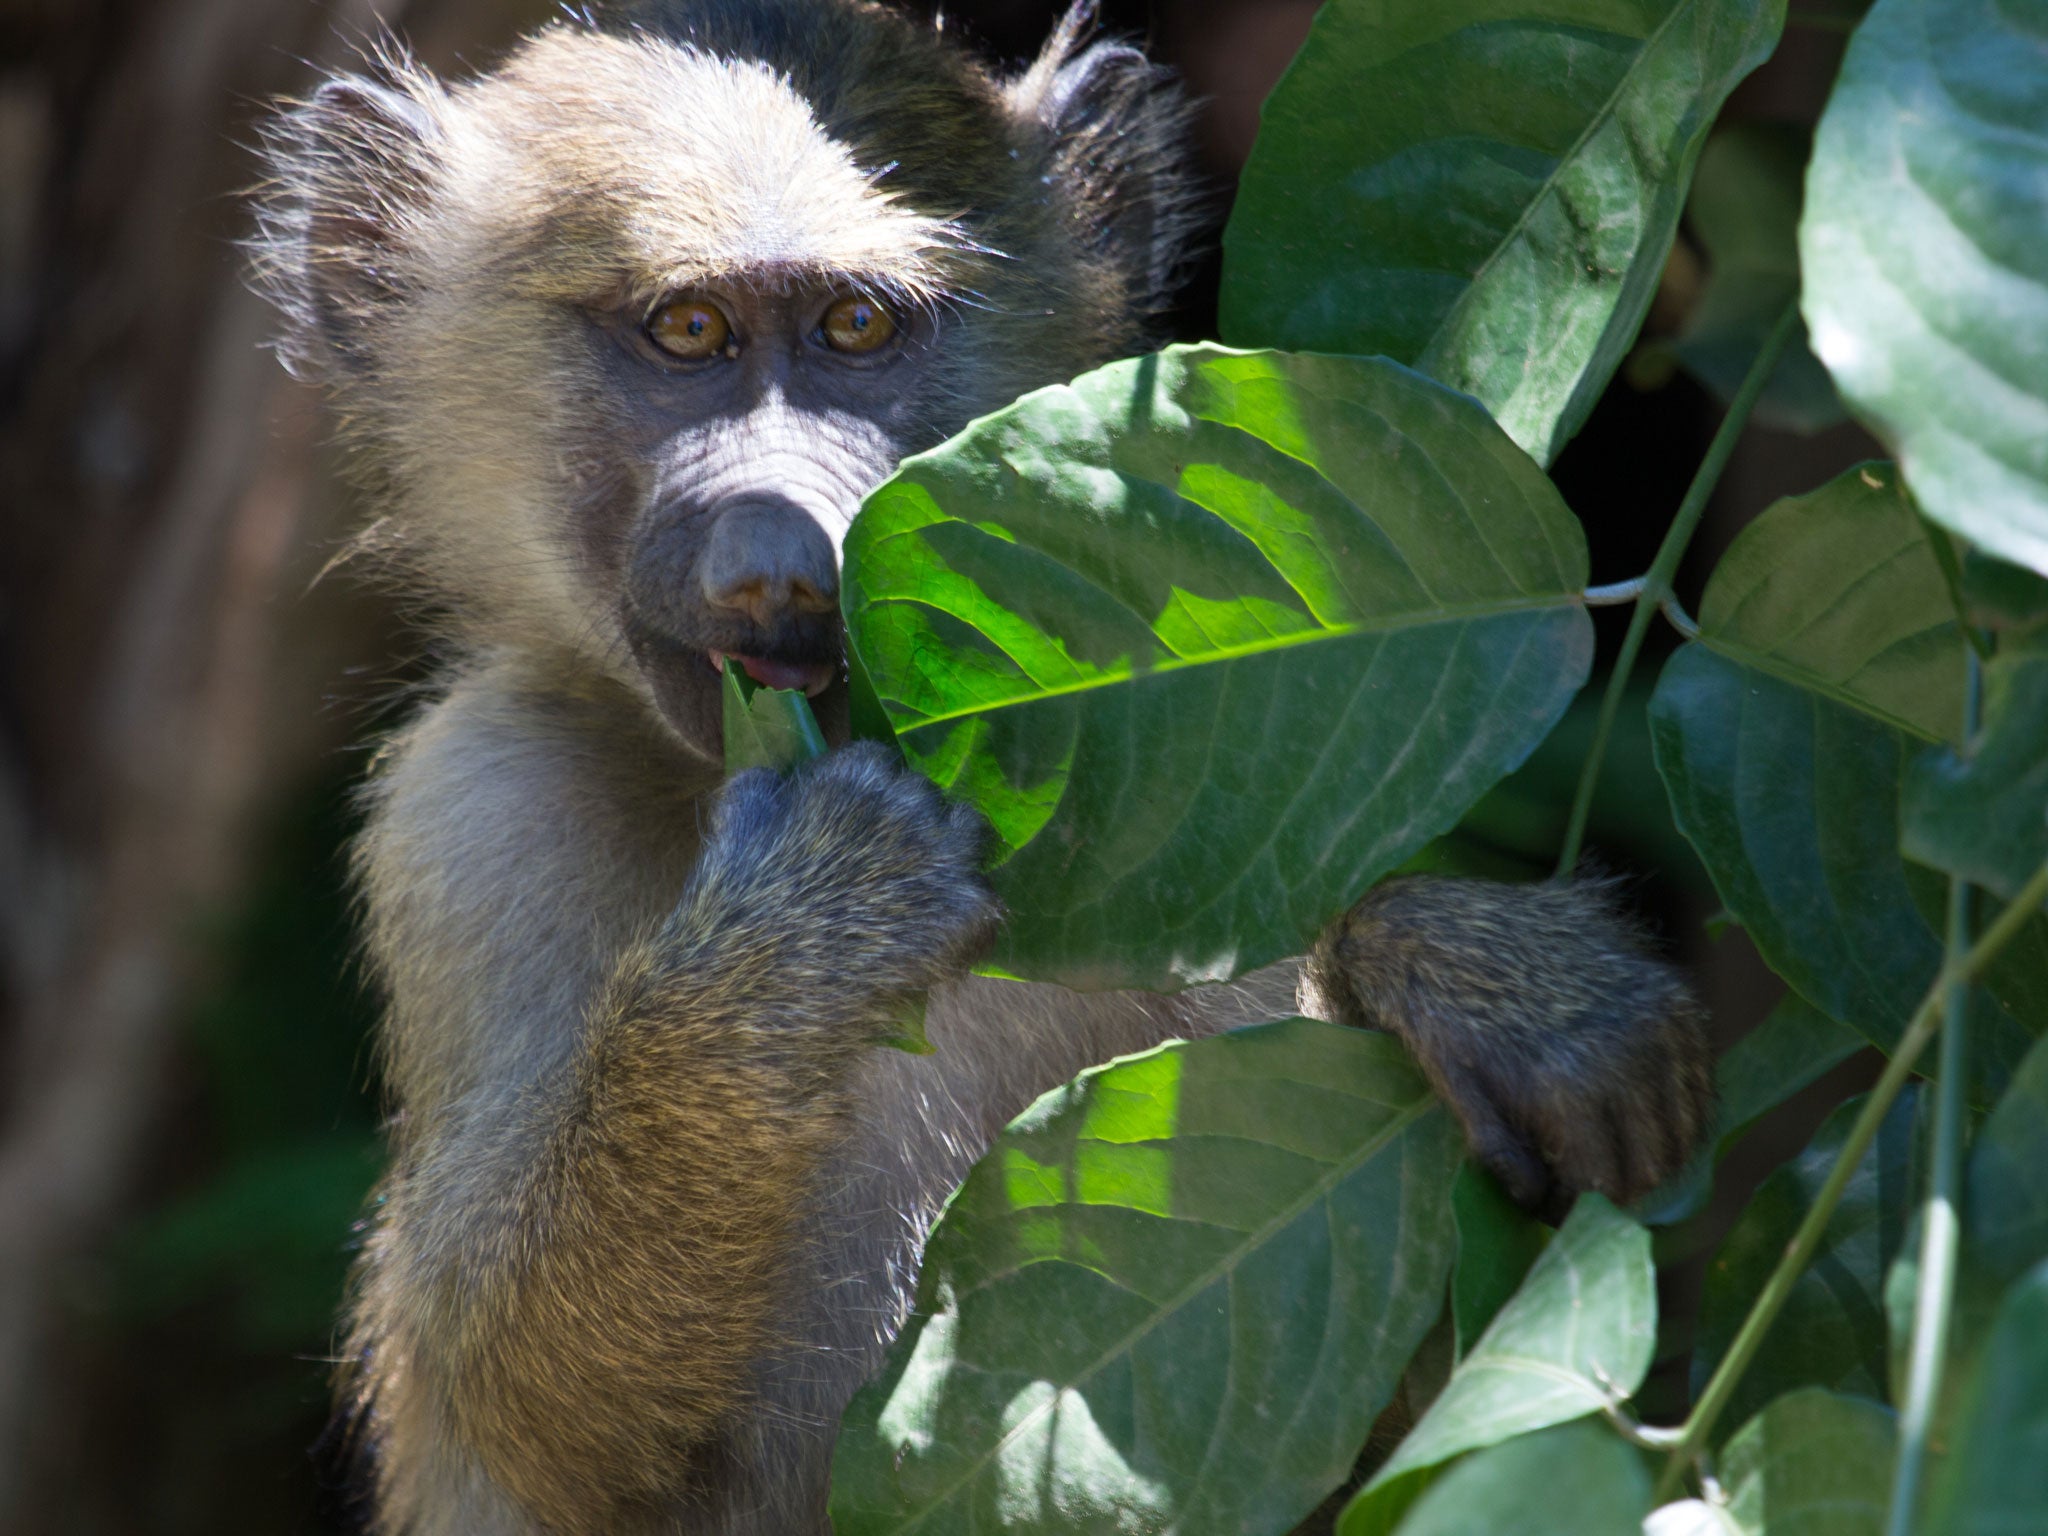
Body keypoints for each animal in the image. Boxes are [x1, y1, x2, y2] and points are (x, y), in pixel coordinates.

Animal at [248, 2, 1713, 1531]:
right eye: (688, 331)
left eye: (854, 328)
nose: (783, 556)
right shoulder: (467, 811)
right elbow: (510, 1391)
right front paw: (791, 947)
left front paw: (1452, 963)